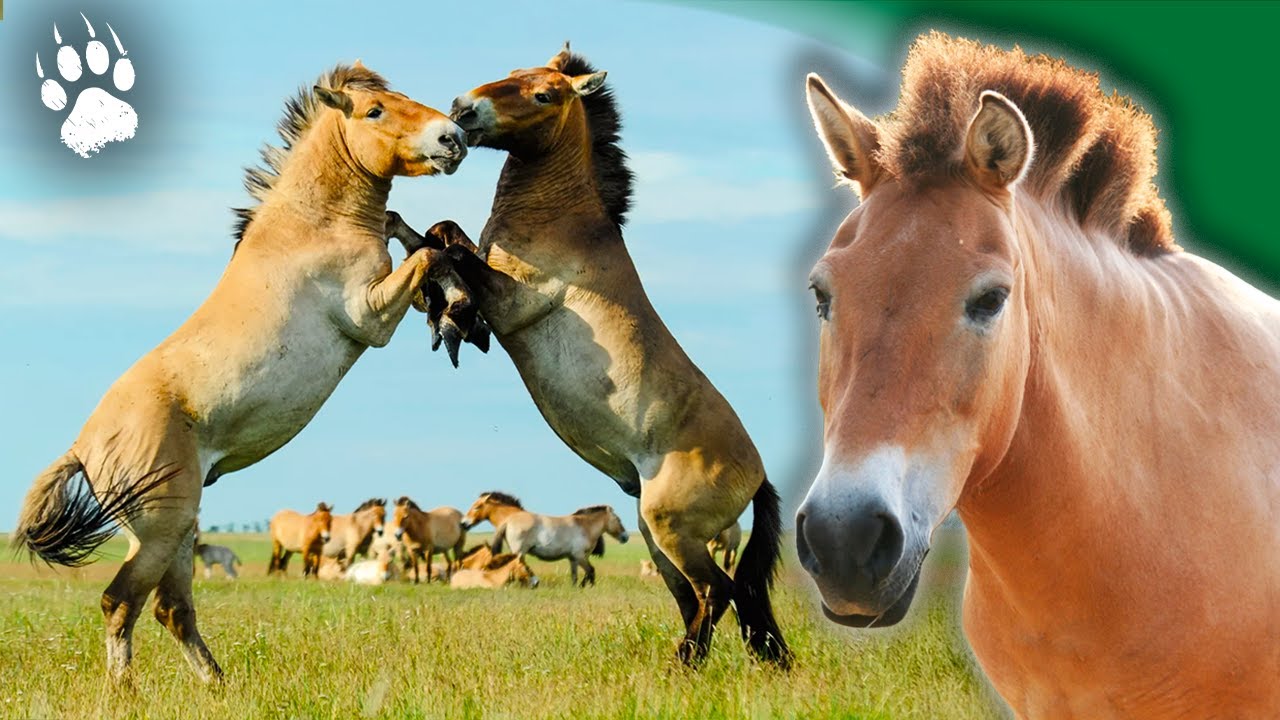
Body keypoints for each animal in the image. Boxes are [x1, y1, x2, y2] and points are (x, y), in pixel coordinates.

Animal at [11, 63, 476, 684]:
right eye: (375, 110)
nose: (453, 138)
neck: (313, 225)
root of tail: (82, 447)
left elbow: (414, 235)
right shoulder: (370, 315)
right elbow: (425, 256)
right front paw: (454, 304)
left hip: (175, 530)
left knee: (170, 609)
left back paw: (217, 686)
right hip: (161, 529)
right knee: (121, 602)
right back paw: (125, 691)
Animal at [467, 493, 629, 587]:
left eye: (477, 507)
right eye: (619, 519)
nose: (625, 537)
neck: (583, 526)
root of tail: (509, 520)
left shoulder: (573, 559)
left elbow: (575, 576)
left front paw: (576, 588)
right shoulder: (580, 556)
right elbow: (591, 572)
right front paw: (588, 587)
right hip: (519, 551)